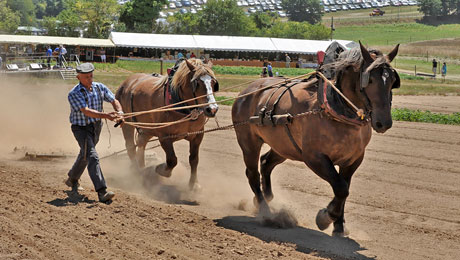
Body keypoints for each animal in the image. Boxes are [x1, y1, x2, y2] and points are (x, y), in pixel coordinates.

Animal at [117, 58, 220, 190]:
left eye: (213, 83)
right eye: (197, 83)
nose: (212, 109)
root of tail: (126, 82)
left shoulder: (198, 135)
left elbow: (194, 159)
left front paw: (194, 184)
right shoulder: (164, 136)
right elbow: (172, 160)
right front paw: (160, 169)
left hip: (148, 129)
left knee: (141, 144)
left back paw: (143, 169)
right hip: (127, 124)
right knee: (130, 147)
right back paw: (136, 173)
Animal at [234, 42, 398, 236]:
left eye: (393, 81)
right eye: (370, 79)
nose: (384, 122)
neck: (335, 109)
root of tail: (246, 92)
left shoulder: (353, 159)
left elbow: (344, 188)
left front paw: (339, 225)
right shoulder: (314, 158)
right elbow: (341, 188)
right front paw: (326, 216)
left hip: (284, 146)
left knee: (266, 162)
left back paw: (267, 197)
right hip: (248, 142)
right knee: (252, 173)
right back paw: (265, 211)